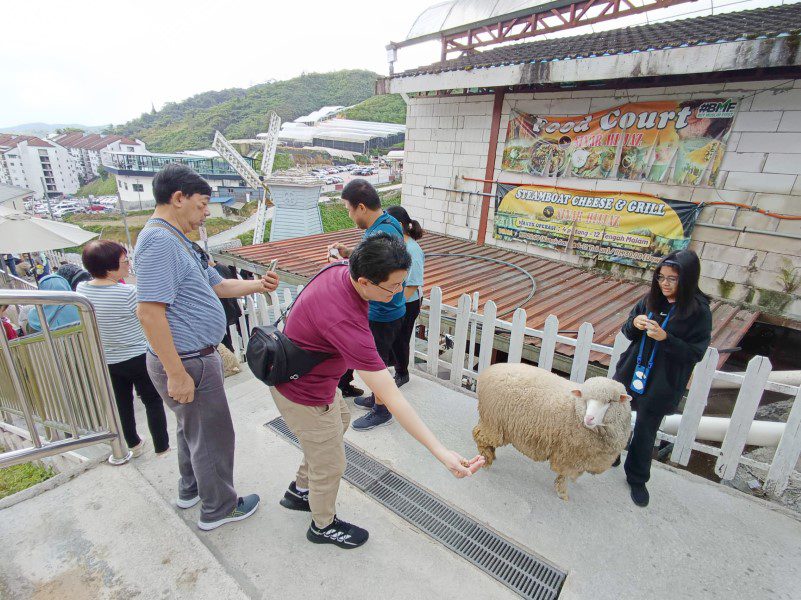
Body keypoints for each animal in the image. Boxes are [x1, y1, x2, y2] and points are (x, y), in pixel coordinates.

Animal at [468, 364, 632, 500]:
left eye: (610, 401)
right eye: (585, 399)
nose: (589, 418)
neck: (575, 409)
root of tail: (488, 371)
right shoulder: (568, 455)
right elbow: (564, 475)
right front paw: (562, 493)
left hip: (493, 422)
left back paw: (490, 454)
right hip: (494, 422)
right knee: (478, 435)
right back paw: (487, 460)